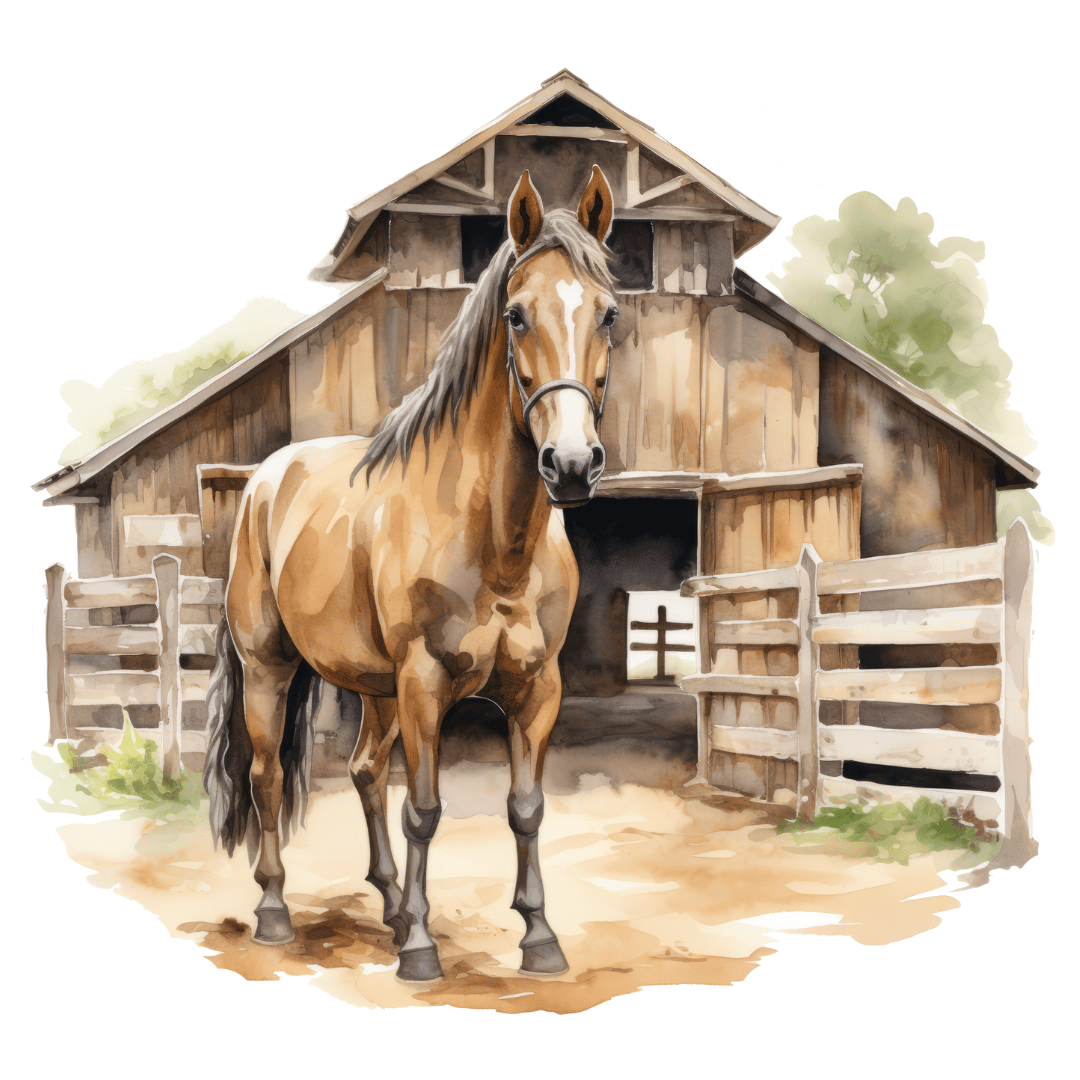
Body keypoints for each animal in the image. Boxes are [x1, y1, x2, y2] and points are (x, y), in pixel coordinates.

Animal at [203, 165, 618, 982]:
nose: (571, 464)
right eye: (516, 315)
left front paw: (539, 937)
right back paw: (276, 913)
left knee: (366, 770)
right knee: (269, 779)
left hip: (377, 689)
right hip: (273, 669)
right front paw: (424, 952)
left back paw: (393, 907)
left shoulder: (537, 689)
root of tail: (266, 477)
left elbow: (526, 809)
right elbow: (424, 809)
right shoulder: (425, 681)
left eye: (609, 314)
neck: (495, 544)